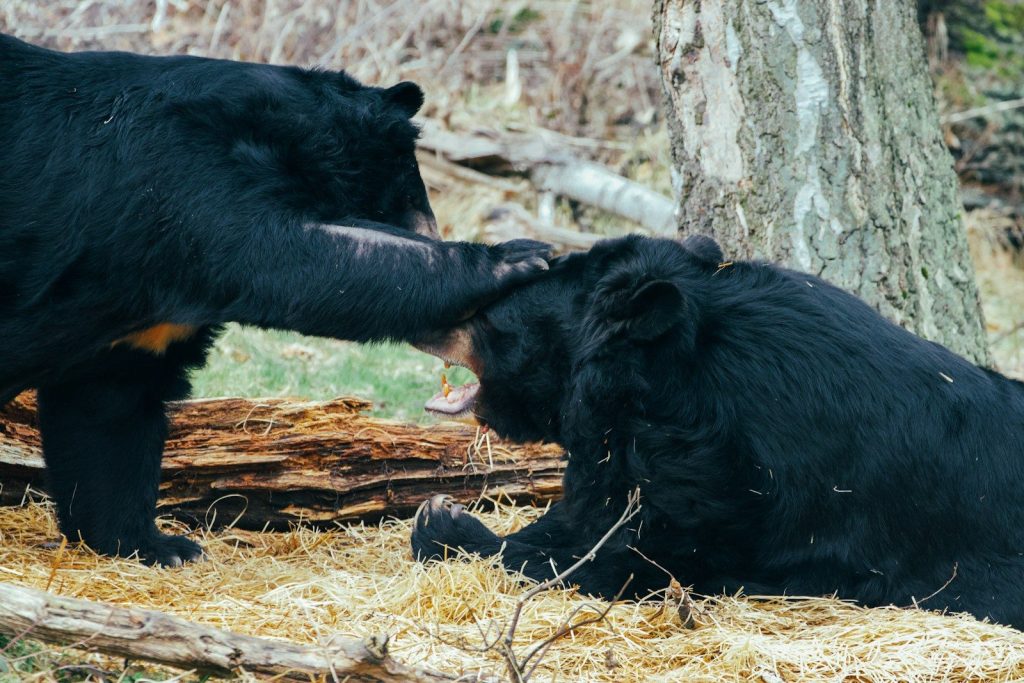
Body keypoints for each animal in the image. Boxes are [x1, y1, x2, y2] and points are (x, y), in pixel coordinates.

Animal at [0, 33, 550, 566]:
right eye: (411, 196)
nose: (433, 231)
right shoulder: (173, 190)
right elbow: (291, 252)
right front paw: (517, 257)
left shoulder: (140, 322)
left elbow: (109, 411)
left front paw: (158, 546)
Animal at [411, 234, 1024, 629]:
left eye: (488, 316)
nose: (420, 323)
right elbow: (596, 512)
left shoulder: (747, 487)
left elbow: (640, 556)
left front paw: (445, 523)